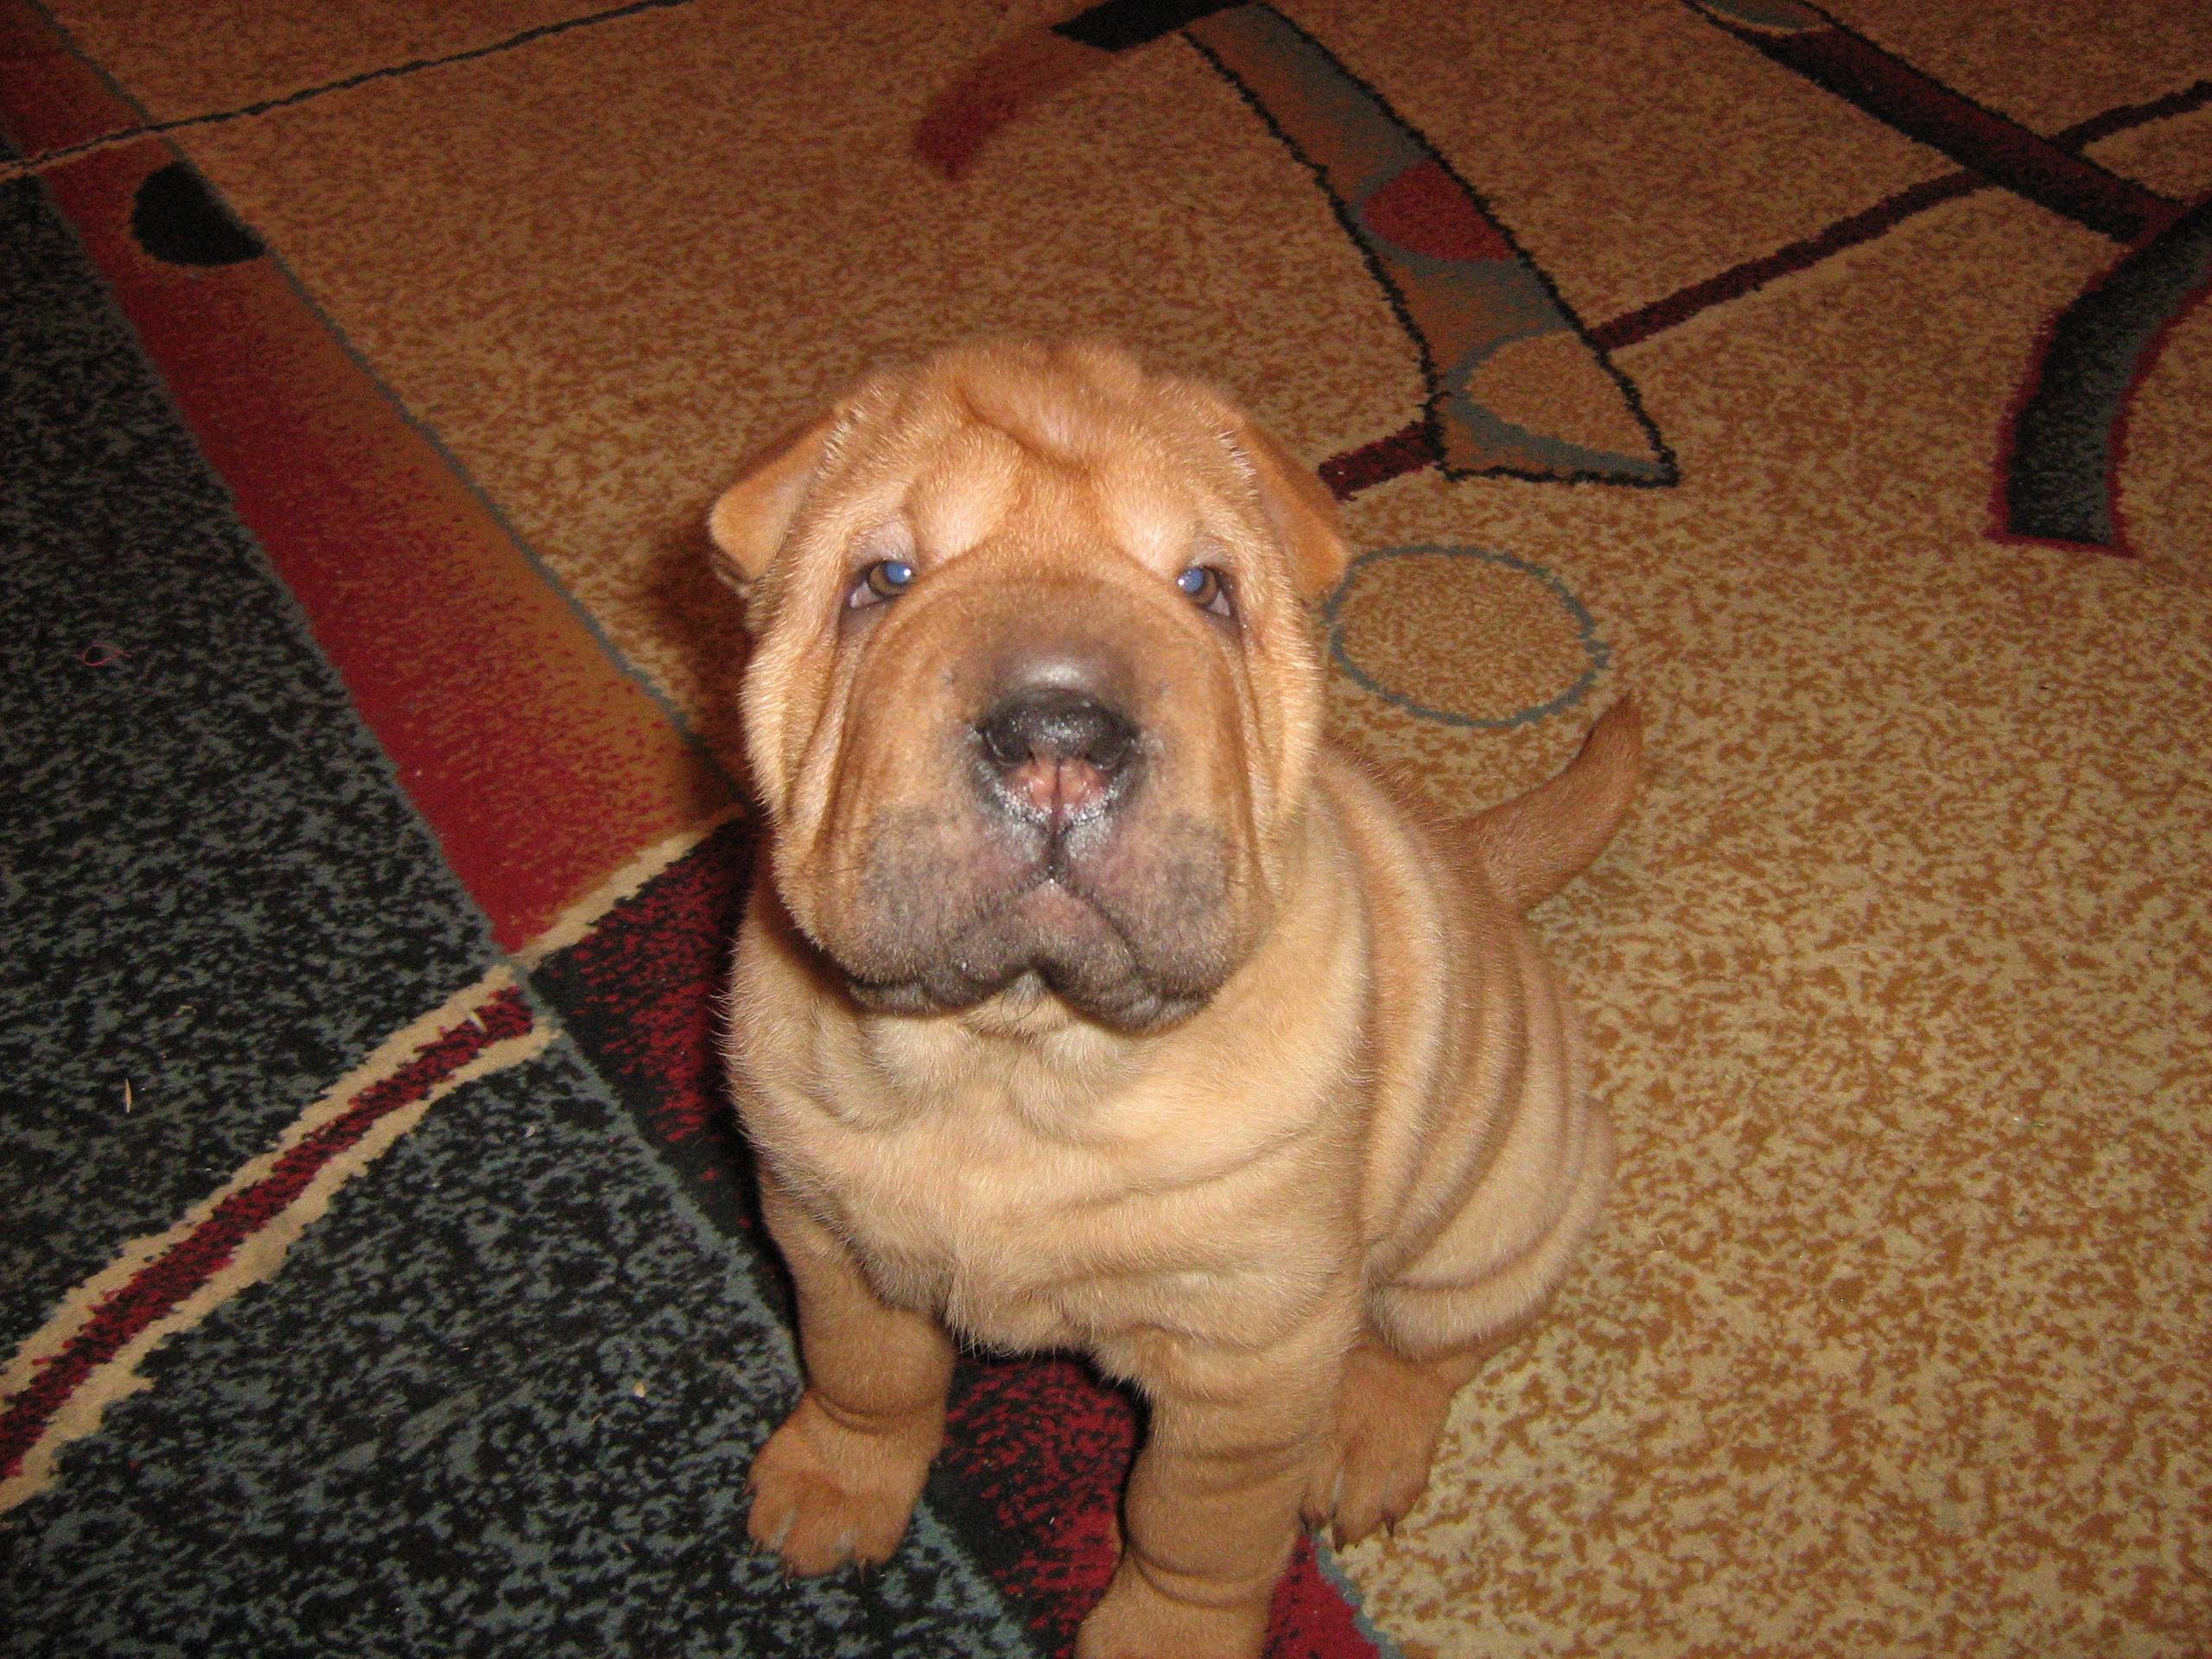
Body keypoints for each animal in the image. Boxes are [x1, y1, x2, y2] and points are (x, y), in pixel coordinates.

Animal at [709, 339, 1642, 1659]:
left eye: (1205, 588)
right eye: (883, 580)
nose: (1058, 732)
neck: (1013, 1062)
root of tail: (1477, 864)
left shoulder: (1247, 1355)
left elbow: (1196, 1531)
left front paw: (1164, 1632)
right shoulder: (823, 1227)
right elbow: (867, 1375)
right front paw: (833, 1489)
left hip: (1498, 1209)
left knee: (1437, 1344)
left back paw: (1364, 1441)